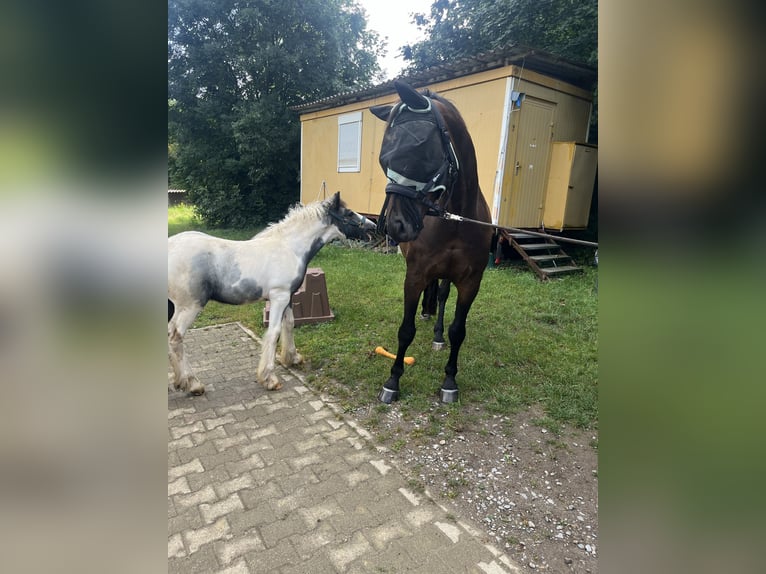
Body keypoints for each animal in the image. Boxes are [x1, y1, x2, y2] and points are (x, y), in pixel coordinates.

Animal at [370, 82, 492, 404]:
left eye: (418, 150)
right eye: (384, 159)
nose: (395, 226)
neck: (455, 219)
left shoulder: (471, 281)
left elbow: (457, 330)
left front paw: (449, 381)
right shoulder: (414, 274)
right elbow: (405, 330)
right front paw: (392, 382)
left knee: (442, 296)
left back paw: (437, 334)